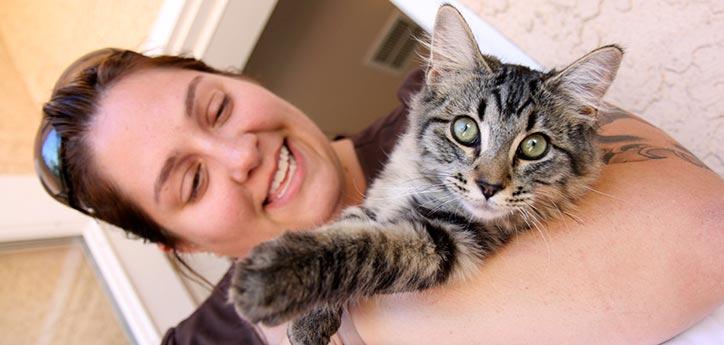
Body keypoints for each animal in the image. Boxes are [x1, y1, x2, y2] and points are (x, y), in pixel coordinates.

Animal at [228, 5, 624, 344]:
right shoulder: (375, 203)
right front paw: (311, 319)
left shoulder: (446, 239)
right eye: (465, 129)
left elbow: (362, 247)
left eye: (534, 146)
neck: (422, 178)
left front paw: (273, 276)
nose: (488, 187)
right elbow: (344, 229)